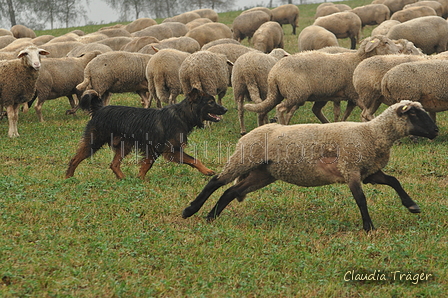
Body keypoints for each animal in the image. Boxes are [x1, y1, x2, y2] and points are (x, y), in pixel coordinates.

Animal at [65, 86, 228, 179]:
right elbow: (194, 160)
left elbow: (146, 165)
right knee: (75, 159)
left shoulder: (154, 149)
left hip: (125, 145)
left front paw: (140, 179)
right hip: (95, 141)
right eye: (211, 102)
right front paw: (207, 171)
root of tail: (100, 109)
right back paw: (68, 178)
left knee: (114, 164)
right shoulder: (171, 151)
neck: (182, 115)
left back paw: (123, 178)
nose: (225, 109)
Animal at [182, 100, 438, 233]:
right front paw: (368, 227)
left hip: (263, 173)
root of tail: (245, 136)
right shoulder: (351, 168)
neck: (374, 134)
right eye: (415, 114)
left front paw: (412, 205)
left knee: (230, 191)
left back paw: (211, 217)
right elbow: (361, 199)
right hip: (244, 159)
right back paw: (190, 210)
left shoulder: (368, 171)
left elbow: (394, 181)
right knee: (215, 182)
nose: (435, 130)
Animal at [243, 35, 400, 125]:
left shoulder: (350, 97)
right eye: (385, 42)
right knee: (280, 108)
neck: (358, 60)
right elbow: (367, 112)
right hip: (295, 93)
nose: (399, 51)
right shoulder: (355, 95)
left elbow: (347, 113)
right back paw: (282, 126)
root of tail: (273, 73)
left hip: (287, 94)